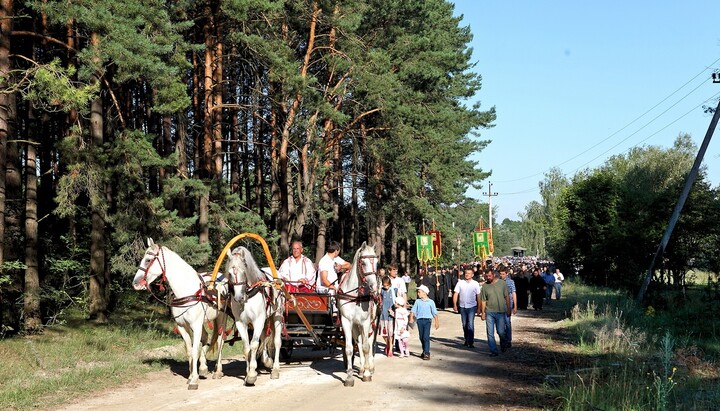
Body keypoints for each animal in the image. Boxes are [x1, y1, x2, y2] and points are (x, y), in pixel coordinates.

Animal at [132, 238, 230, 390]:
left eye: (148, 260)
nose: (135, 283)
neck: (186, 290)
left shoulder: (195, 325)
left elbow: (195, 350)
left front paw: (194, 380)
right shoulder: (183, 326)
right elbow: (189, 350)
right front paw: (191, 376)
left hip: (221, 317)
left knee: (220, 340)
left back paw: (218, 371)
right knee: (206, 338)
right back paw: (203, 368)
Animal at [225, 245, 284, 386]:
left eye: (243, 270)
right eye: (230, 273)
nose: (238, 297)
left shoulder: (258, 320)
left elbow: (254, 345)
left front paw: (252, 373)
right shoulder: (241, 323)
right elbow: (247, 347)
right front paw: (248, 372)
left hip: (277, 315)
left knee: (276, 341)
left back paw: (275, 369)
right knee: (264, 338)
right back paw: (267, 361)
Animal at [336, 241, 379, 387]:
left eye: (377, 263)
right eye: (363, 263)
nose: (374, 287)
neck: (355, 297)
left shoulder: (365, 322)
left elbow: (366, 347)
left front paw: (367, 374)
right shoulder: (346, 321)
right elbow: (350, 348)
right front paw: (349, 377)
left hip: (372, 322)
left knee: (369, 342)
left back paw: (369, 367)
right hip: (356, 326)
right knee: (359, 342)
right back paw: (361, 368)